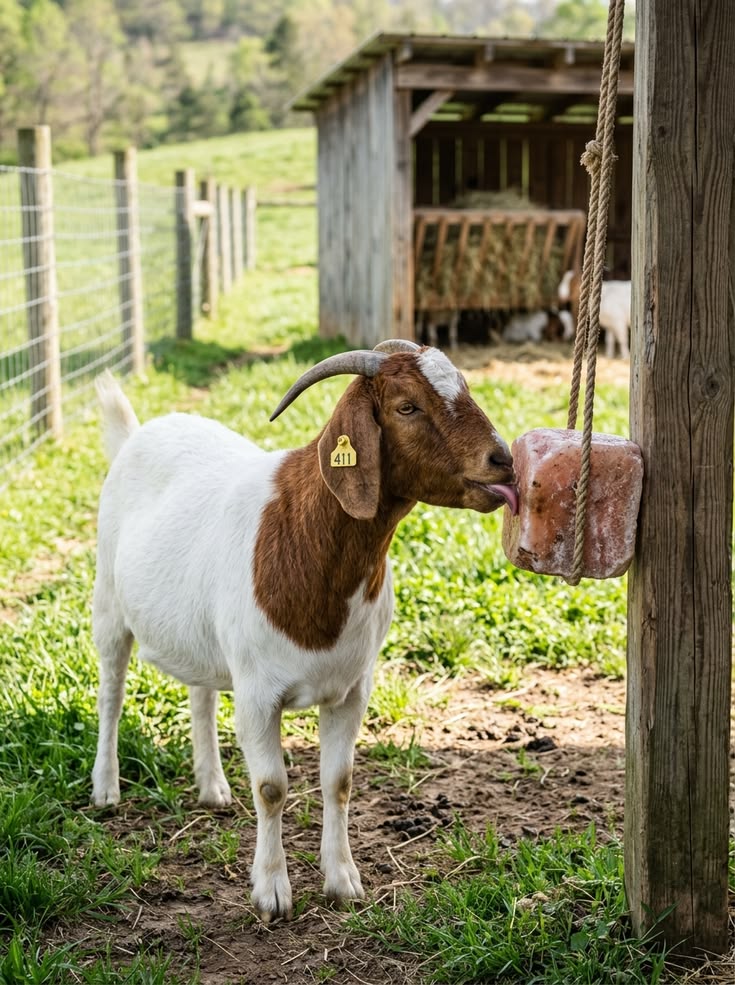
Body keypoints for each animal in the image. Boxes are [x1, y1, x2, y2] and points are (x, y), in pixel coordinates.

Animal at [91, 341, 517, 922]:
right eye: (406, 406)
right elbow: (272, 787)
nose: (505, 461)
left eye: (466, 388)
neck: (306, 536)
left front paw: (343, 881)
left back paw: (212, 787)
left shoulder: (352, 689)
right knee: (111, 693)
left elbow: (338, 783)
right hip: (109, 605)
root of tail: (136, 434)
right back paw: (106, 789)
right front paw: (272, 892)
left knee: (201, 694)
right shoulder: (256, 694)